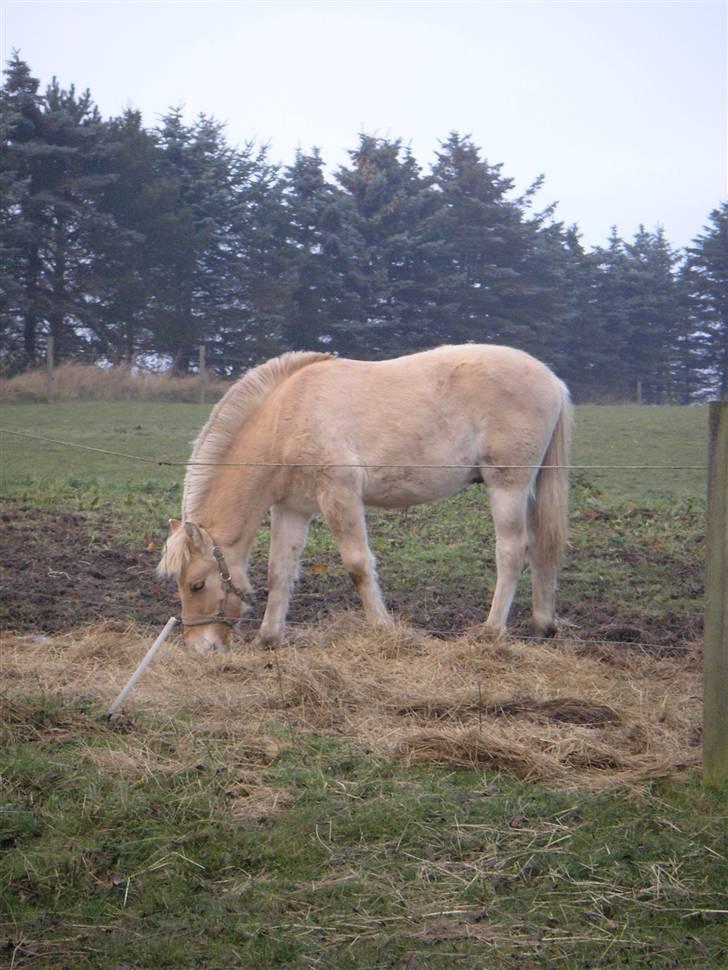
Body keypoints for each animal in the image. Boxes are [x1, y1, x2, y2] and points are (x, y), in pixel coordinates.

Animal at [159, 344, 576, 656]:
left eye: (196, 585)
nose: (199, 647)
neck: (285, 417)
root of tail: (553, 380)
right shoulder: (293, 508)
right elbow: (280, 571)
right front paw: (269, 638)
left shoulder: (339, 496)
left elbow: (358, 566)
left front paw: (383, 629)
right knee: (541, 548)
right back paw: (542, 624)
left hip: (507, 485)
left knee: (512, 551)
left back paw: (491, 631)